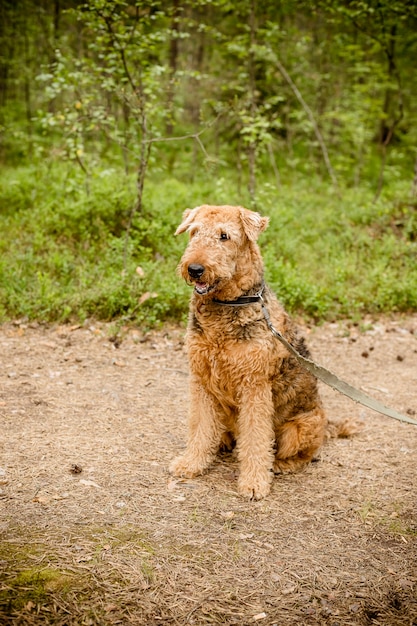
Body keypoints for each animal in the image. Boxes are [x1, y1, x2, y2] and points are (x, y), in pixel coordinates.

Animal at [169, 205, 332, 498]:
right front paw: (191, 464)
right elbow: (200, 427)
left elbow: (256, 438)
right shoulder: (201, 380)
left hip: (300, 427)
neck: (227, 304)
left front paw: (254, 483)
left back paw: (279, 465)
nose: (195, 269)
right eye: (194, 232)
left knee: (300, 454)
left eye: (224, 236)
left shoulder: (254, 386)